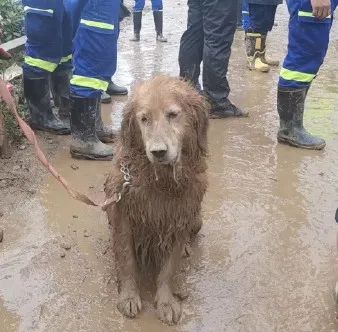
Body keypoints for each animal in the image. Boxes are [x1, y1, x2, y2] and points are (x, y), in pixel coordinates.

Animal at [104, 76, 209, 324]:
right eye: (144, 119)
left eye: (172, 114)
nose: (158, 152)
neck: (161, 181)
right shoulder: (122, 214)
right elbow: (126, 259)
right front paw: (129, 296)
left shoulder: (181, 217)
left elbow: (169, 268)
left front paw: (165, 301)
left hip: (197, 220)